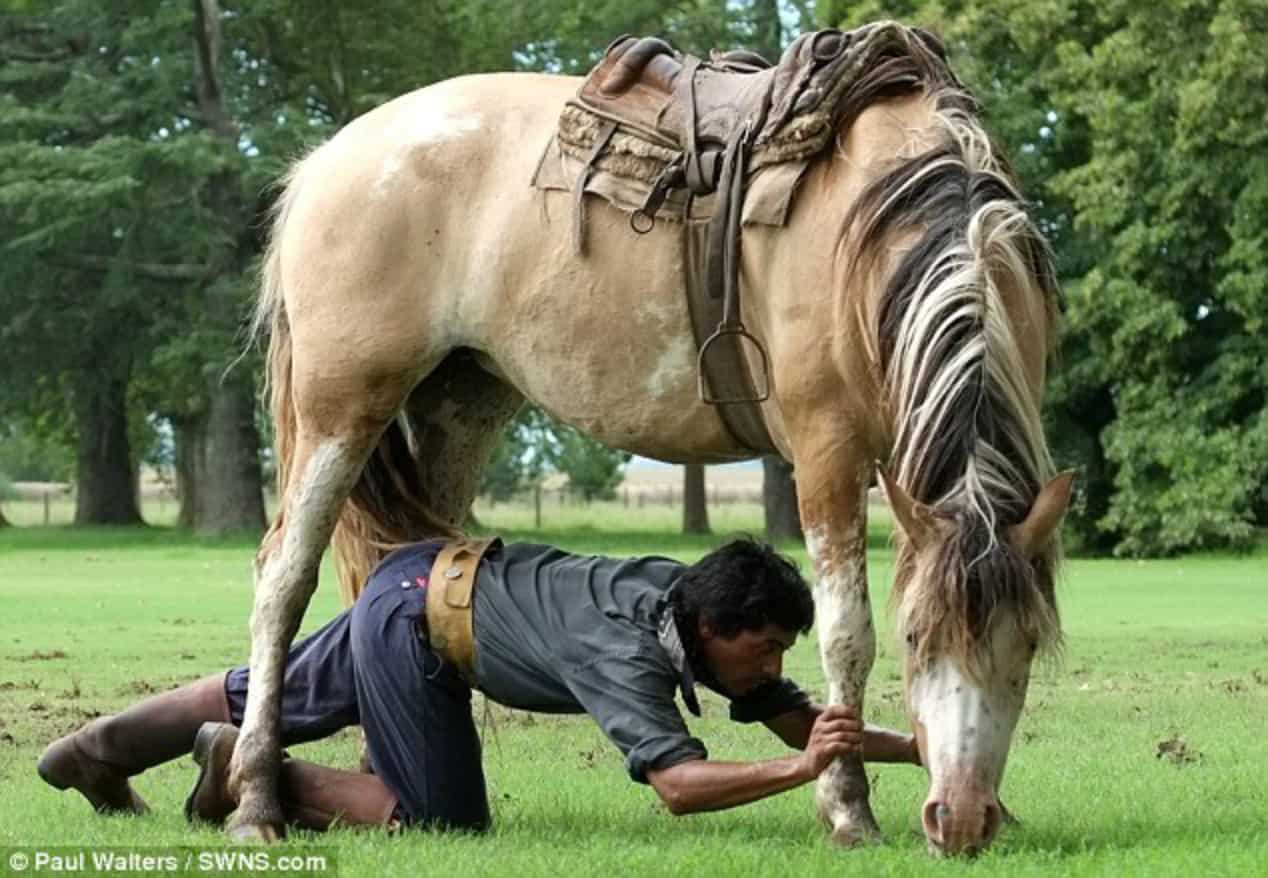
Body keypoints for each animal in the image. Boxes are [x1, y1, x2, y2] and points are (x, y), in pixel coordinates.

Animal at [230, 23, 1073, 856]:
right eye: (916, 637)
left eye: (1031, 644)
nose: (960, 820)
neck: (882, 221)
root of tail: (324, 163)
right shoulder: (826, 452)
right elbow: (846, 638)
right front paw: (848, 809)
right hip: (340, 408)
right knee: (283, 578)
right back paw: (254, 799)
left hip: (460, 403)